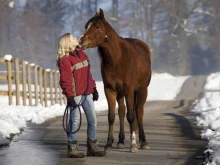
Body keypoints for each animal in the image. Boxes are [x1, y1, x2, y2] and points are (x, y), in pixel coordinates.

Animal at [78, 8, 151, 153]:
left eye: (97, 26)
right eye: (86, 26)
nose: (81, 41)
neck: (117, 59)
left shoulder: (129, 89)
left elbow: (131, 116)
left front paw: (133, 145)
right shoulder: (110, 89)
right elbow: (112, 116)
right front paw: (108, 144)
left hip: (142, 89)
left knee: (139, 111)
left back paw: (143, 141)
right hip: (121, 93)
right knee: (122, 111)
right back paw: (121, 141)